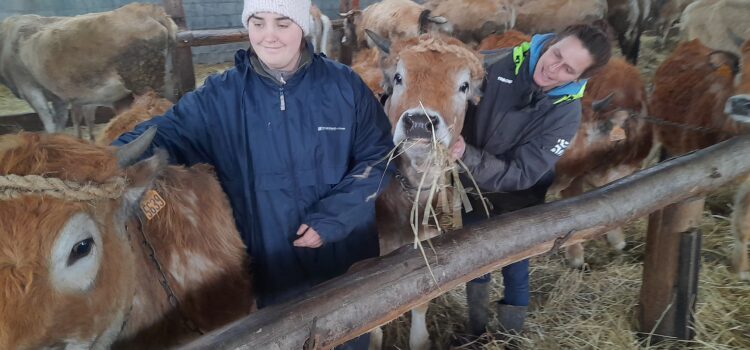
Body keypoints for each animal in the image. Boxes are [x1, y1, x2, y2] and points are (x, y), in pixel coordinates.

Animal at [0, 4, 176, 135]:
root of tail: (145, 9)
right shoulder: (58, 97)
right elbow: (60, 122)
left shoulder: (29, 88)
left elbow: (48, 122)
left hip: (145, 83)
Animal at [368, 32, 484, 350]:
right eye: (398, 77)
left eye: (464, 85)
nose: (420, 122)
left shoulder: (428, 242)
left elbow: (421, 301)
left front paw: (419, 340)